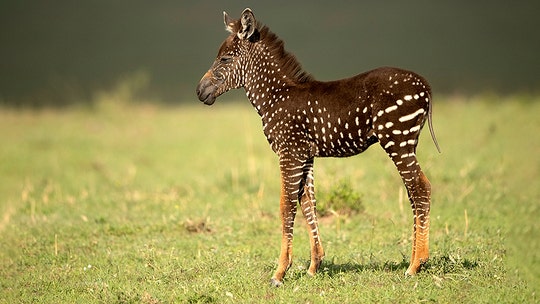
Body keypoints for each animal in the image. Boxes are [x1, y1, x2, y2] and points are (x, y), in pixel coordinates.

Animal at [196, 7, 440, 288]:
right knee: (413, 192)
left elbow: (286, 206)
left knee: (421, 188)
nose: (199, 92)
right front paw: (314, 265)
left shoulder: (289, 153)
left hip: (397, 139)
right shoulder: (305, 155)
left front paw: (280, 272)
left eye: (225, 59)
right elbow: (308, 204)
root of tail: (425, 86)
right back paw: (414, 260)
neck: (275, 96)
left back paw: (416, 265)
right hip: (406, 142)